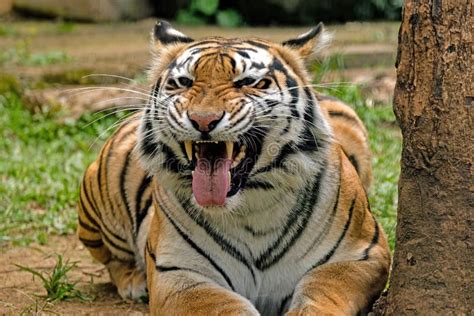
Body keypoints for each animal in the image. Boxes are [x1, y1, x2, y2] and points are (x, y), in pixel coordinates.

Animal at [77, 21, 388, 314]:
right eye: (183, 82)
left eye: (249, 82)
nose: (203, 120)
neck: (252, 207)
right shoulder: (178, 271)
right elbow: (225, 306)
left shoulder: (361, 254)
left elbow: (319, 293)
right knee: (111, 258)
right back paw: (134, 282)